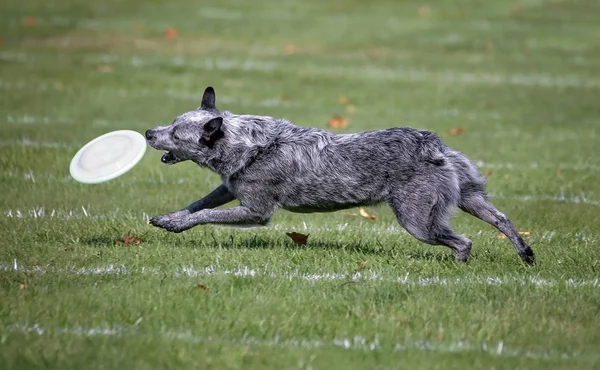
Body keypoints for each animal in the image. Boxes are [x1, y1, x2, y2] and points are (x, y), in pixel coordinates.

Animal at [144, 85, 536, 264]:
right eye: (172, 123)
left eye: (176, 133)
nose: (148, 132)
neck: (248, 144)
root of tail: (434, 145)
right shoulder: (229, 188)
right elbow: (198, 204)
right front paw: (170, 218)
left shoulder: (255, 211)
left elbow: (206, 214)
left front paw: (178, 224)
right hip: (471, 196)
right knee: (502, 218)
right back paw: (526, 253)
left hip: (418, 220)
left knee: (463, 241)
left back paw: (459, 265)